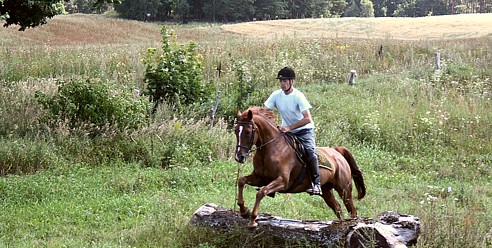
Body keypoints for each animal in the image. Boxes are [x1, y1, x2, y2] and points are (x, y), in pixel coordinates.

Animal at [234, 106, 366, 227]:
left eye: (248, 132)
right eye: (236, 131)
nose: (239, 157)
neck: (269, 149)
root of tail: (337, 152)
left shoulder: (282, 181)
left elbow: (261, 192)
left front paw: (253, 219)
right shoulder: (260, 178)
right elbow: (241, 181)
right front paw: (244, 211)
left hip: (344, 189)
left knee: (352, 210)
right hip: (326, 190)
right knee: (338, 208)